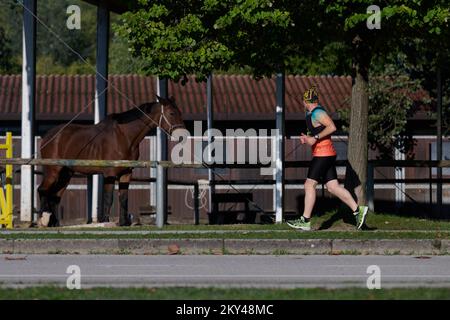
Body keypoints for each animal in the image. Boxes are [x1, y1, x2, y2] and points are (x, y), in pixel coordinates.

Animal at [37, 95, 185, 228]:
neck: (124, 136)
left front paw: (123, 223)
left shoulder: (126, 173)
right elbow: (109, 198)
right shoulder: (110, 173)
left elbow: (123, 197)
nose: (182, 136)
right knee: (42, 190)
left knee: (55, 196)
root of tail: (47, 137)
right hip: (53, 171)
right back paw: (44, 220)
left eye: (179, 112)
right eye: (171, 113)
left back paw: (54, 224)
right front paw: (105, 222)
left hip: (66, 174)